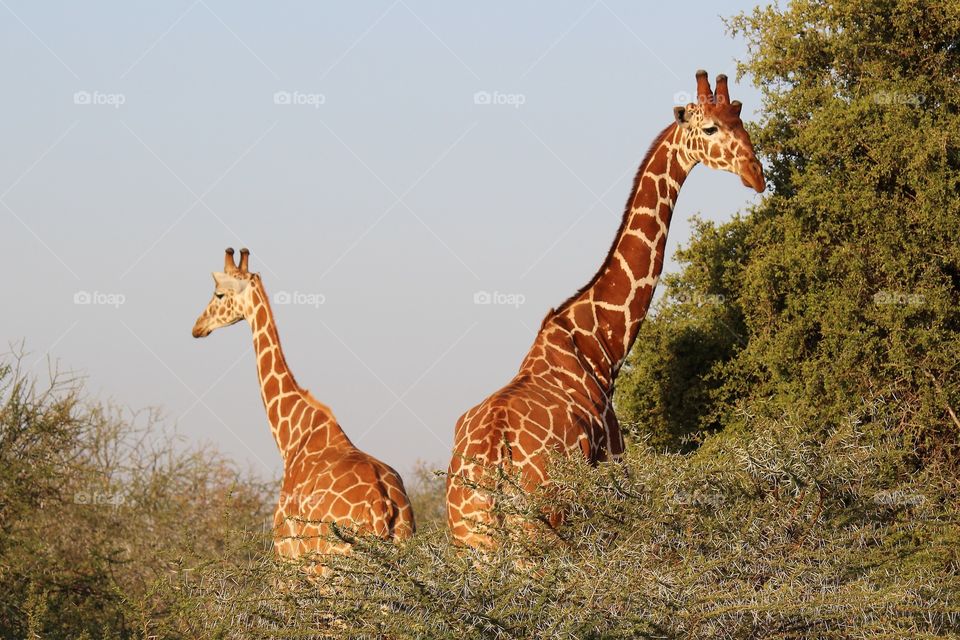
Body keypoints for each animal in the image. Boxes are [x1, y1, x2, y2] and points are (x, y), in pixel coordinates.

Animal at [193, 248, 414, 564]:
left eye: (219, 294)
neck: (292, 438)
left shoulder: (286, 554)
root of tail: (384, 507)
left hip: (330, 562)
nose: (197, 327)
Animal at [446, 72, 768, 548]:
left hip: (472, 539)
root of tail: (494, 458)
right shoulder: (615, 464)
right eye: (710, 128)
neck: (601, 346)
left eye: (741, 119)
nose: (755, 174)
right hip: (540, 529)